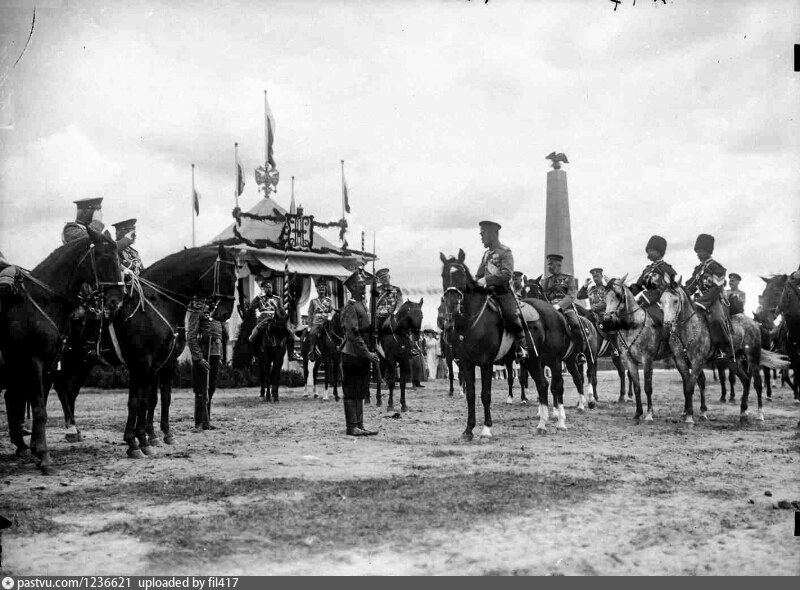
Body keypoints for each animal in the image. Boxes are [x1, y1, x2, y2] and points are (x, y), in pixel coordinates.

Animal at [0, 229, 124, 474]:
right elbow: (40, 409)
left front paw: (37, 450)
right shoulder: (34, 362)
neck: (43, 302)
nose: (118, 300)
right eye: (106, 256)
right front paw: (45, 456)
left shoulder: (49, 366)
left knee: (12, 398)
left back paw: (21, 445)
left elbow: (41, 407)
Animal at [440, 250, 584, 440]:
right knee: (543, 385)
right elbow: (470, 395)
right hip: (534, 360)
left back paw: (561, 421)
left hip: (555, 360)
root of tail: (556, 312)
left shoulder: (486, 363)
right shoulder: (466, 363)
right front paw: (468, 430)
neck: (472, 322)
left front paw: (486, 429)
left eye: (460, 275)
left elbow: (485, 395)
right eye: (443, 275)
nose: (451, 305)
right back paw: (542, 424)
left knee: (558, 385)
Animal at [600, 278, 676, 424]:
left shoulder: (647, 361)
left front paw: (649, 414)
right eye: (604, 295)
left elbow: (647, 388)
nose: (606, 319)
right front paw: (637, 413)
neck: (632, 325)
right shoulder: (630, 362)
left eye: (618, 294)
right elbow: (637, 388)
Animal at [660, 280, 792, 426]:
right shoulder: (681, 362)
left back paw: (760, 414)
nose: (667, 325)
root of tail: (754, 324)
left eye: (675, 301)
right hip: (733, 361)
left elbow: (690, 386)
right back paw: (743, 412)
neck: (689, 328)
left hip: (752, 357)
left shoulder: (697, 361)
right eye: (661, 301)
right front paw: (693, 413)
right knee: (746, 381)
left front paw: (690, 417)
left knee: (757, 383)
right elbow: (687, 387)